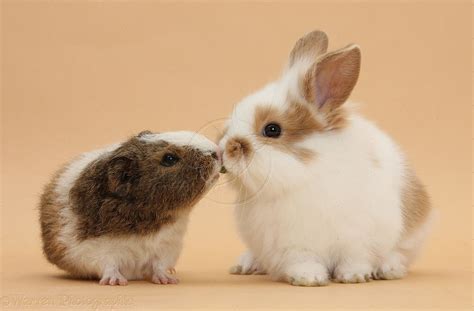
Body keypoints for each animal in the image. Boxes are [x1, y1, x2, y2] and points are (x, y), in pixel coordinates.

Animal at [218, 30, 434, 286]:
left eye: (272, 129)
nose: (224, 149)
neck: (304, 178)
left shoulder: (359, 239)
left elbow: (356, 259)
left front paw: (354, 276)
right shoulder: (294, 246)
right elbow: (303, 261)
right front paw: (309, 278)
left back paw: (390, 269)